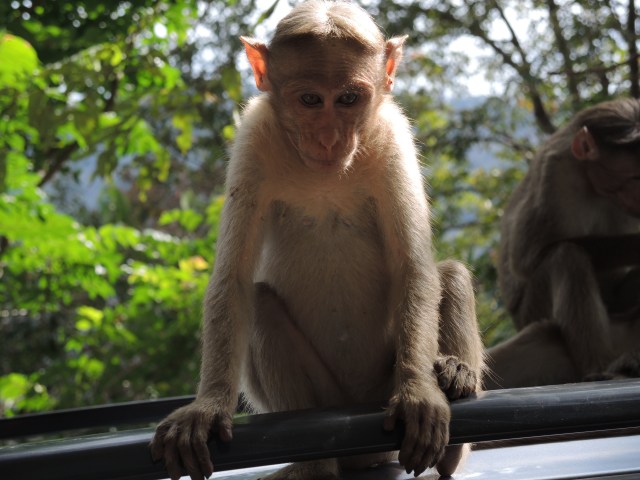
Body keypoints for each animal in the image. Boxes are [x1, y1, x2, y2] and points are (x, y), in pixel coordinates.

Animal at [150, 2, 484, 479]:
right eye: (310, 100)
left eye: (348, 99)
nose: (329, 139)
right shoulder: (254, 138)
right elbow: (233, 278)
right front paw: (208, 406)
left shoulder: (393, 136)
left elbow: (413, 267)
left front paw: (420, 391)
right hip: (330, 400)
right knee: (261, 304)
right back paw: (316, 466)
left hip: (380, 390)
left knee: (450, 274)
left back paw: (453, 386)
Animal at [495, 98, 640, 388]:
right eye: (634, 176)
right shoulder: (556, 172)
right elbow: (525, 260)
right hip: (533, 310)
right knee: (567, 257)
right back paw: (602, 367)